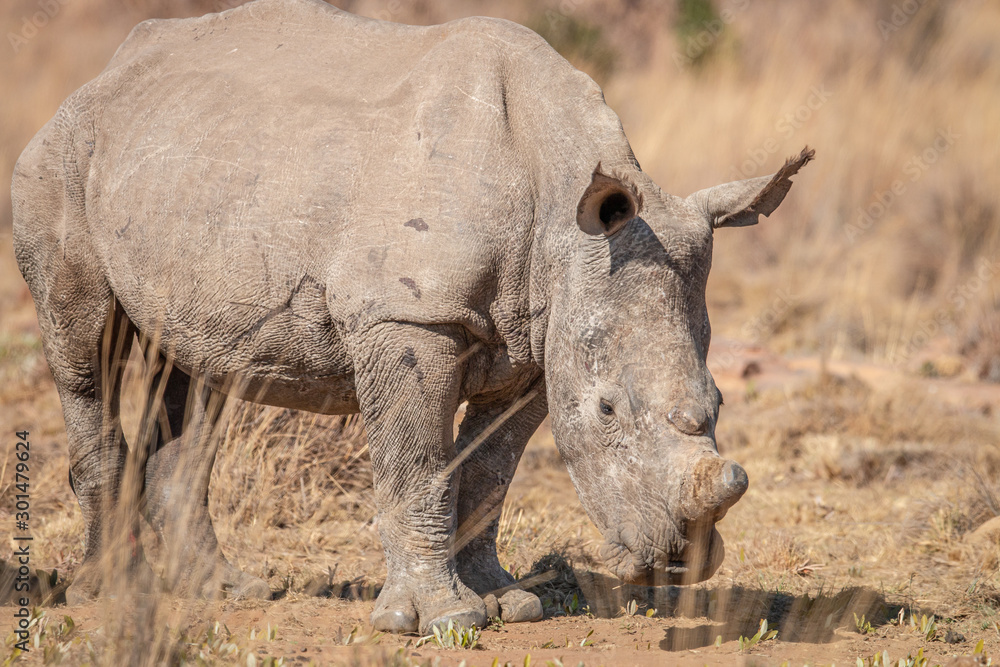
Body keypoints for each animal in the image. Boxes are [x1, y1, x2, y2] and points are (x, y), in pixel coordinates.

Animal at [12, 0, 812, 634]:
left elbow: (489, 469)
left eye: (719, 401)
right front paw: (440, 619)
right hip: (59, 160)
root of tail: (98, 81)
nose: (680, 561)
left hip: (194, 169)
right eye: (608, 409)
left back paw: (228, 591)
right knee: (82, 347)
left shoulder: (538, 339)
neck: (561, 211)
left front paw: (508, 602)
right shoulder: (408, 320)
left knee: (201, 364)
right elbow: (418, 460)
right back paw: (111, 593)